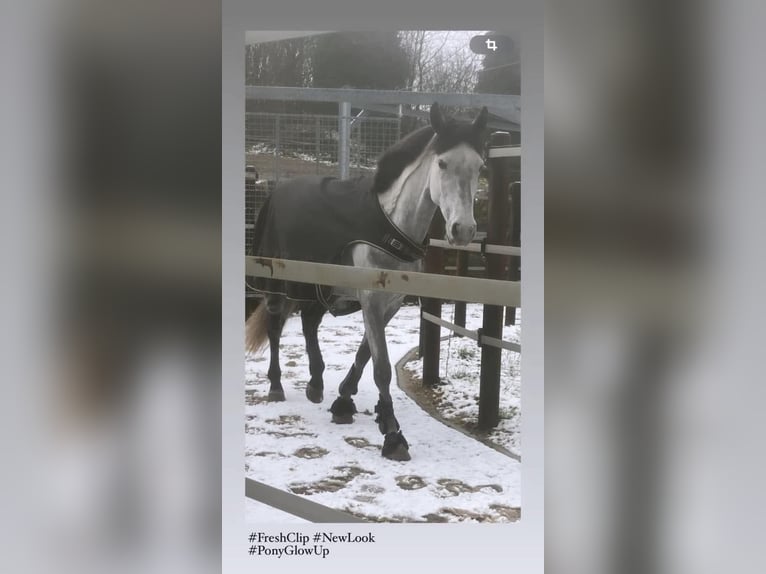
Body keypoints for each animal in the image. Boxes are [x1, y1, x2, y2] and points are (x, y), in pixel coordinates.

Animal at [246, 102, 488, 461]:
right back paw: (276, 385)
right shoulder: (371, 300)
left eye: (480, 167)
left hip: (319, 289)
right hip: (278, 285)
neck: (390, 224)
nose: (464, 230)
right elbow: (382, 366)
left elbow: (364, 354)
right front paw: (392, 434)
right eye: (442, 163)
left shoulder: (391, 302)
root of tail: (276, 191)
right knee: (276, 328)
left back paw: (316, 384)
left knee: (309, 324)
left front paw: (343, 401)